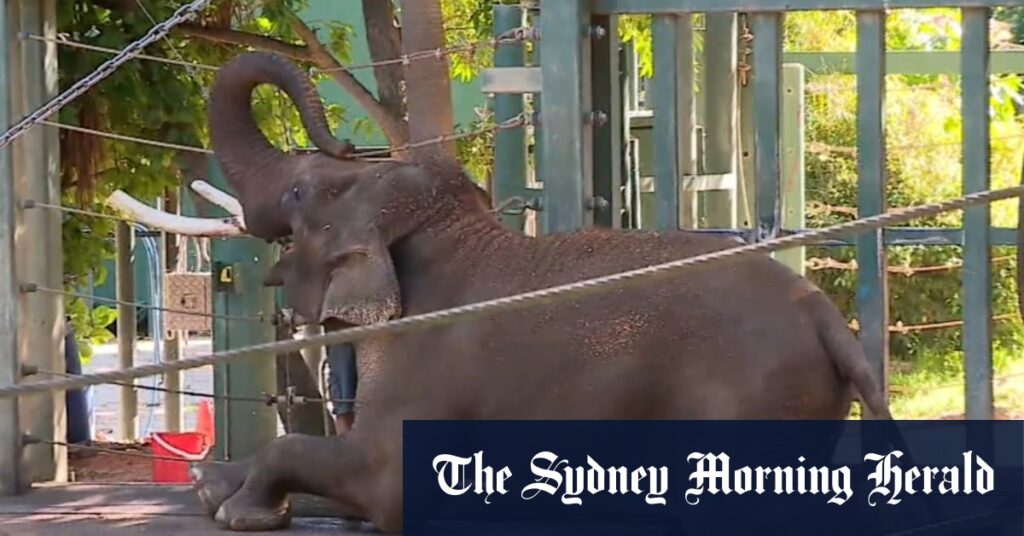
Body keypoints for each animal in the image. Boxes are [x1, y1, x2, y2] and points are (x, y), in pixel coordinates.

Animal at [189, 51, 911, 533]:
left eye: (298, 192)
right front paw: (212, 485)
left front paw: (236, 508)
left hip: (748, 404)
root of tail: (824, 315)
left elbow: (382, 482)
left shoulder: (424, 375)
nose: (340, 137)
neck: (435, 225)